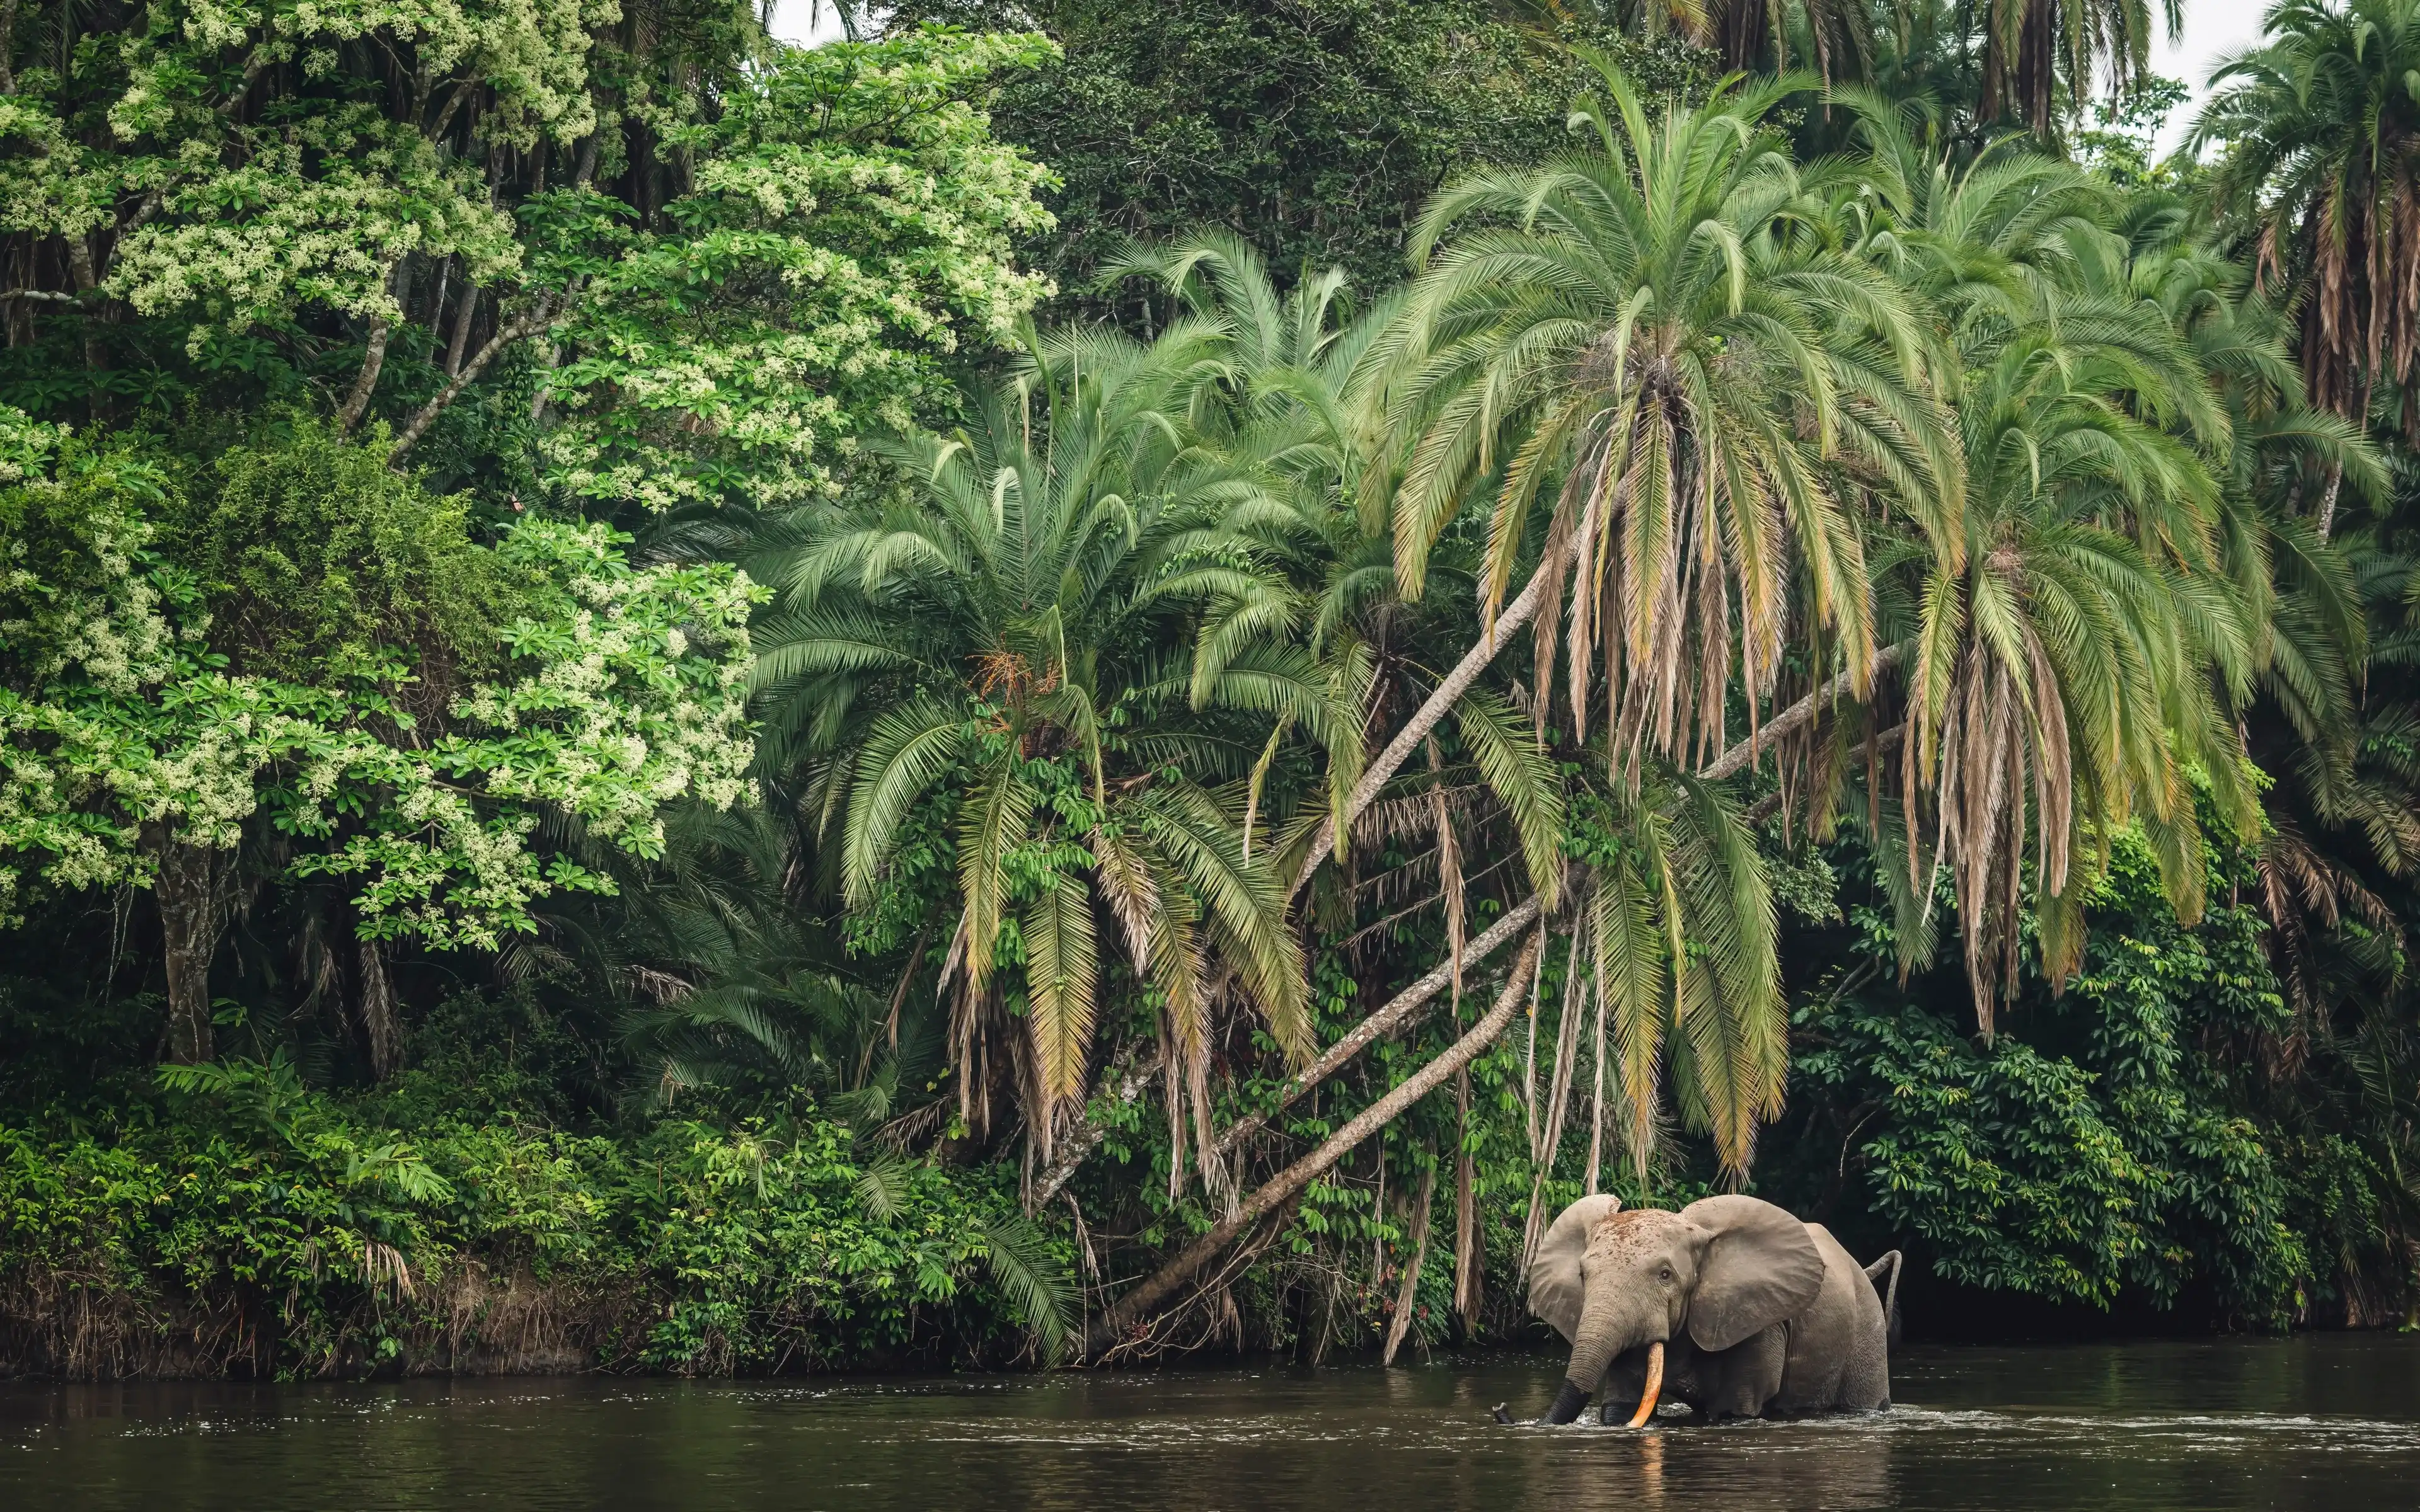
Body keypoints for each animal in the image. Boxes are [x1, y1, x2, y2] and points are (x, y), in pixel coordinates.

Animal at [1520, 1194, 1901, 1426]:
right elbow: (1620, 1407)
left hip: (1866, 1331)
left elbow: (1736, 1409)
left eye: (1665, 1275)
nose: (1506, 1411)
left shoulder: (1759, 1322)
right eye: (1583, 1276)